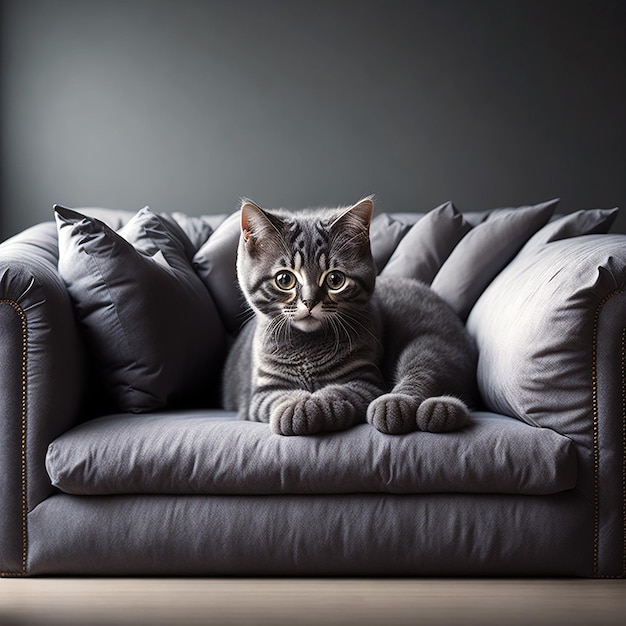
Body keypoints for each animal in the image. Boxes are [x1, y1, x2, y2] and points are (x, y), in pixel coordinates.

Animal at [222, 195, 476, 434]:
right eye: (285, 279)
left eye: (335, 280)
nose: (310, 301)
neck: (307, 344)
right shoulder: (262, 393)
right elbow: (279, 397)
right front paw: (296, 405)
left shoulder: (364, 382)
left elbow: (337, 392)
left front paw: (309, 406)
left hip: (431, 343)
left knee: (421, 374)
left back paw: (401, 407)